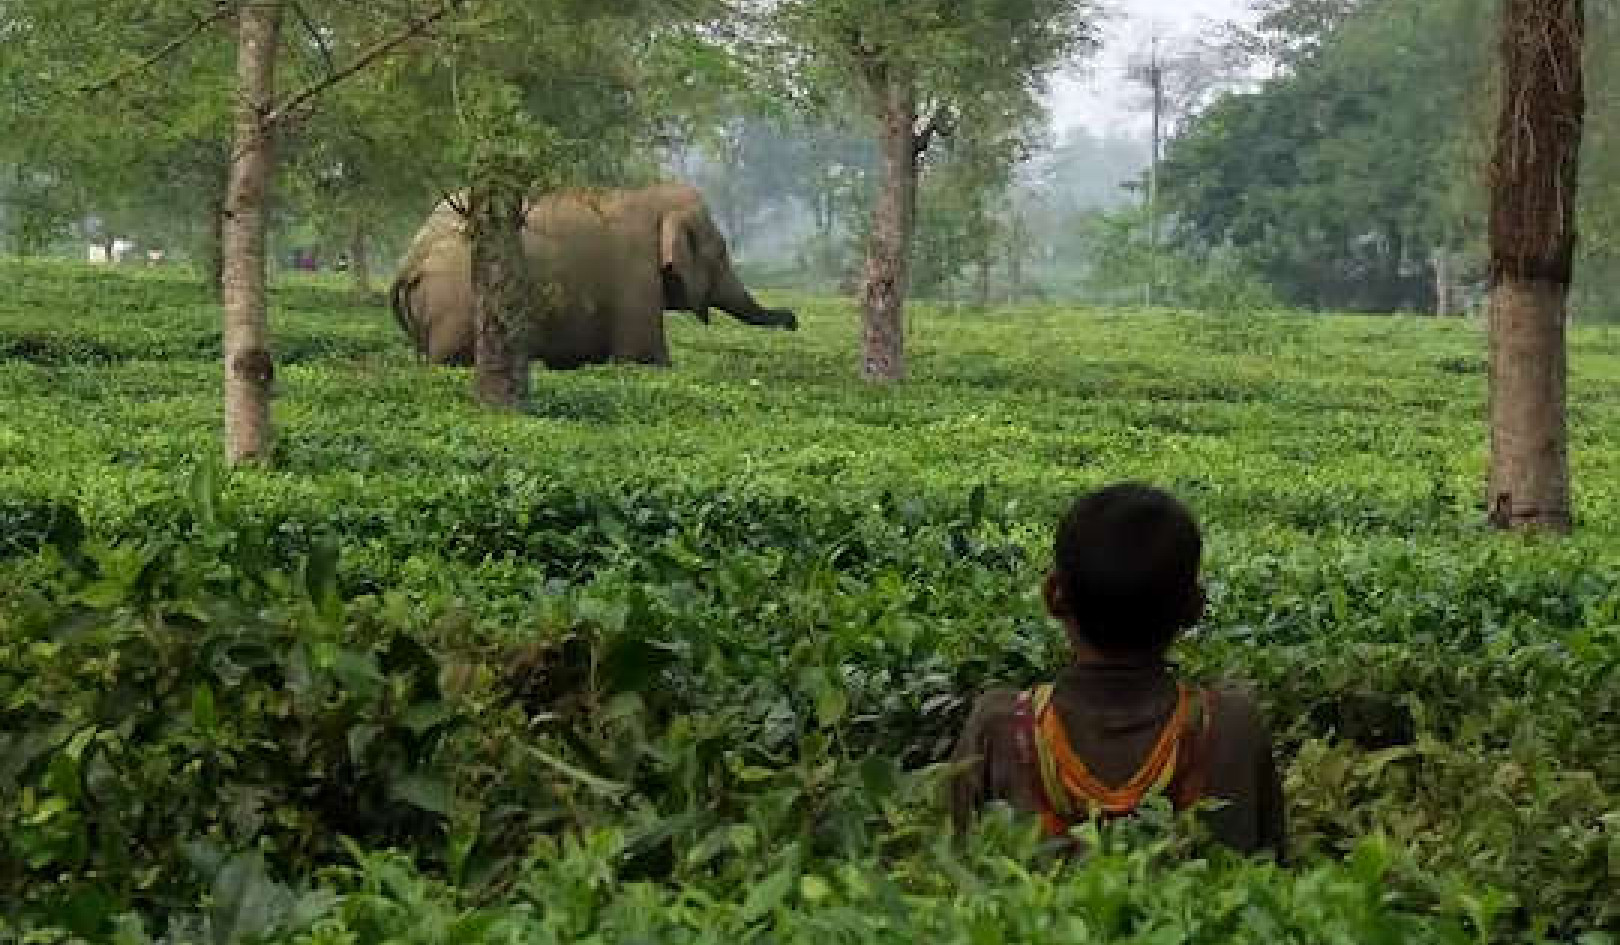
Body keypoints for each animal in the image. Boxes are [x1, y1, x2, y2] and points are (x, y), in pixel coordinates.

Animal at [392, 183, 797, 367]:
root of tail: (412, 256)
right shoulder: (636, 274)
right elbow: (644, 360)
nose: (793, 321)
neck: (655, 195)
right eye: (721, 255)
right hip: (456, 304)